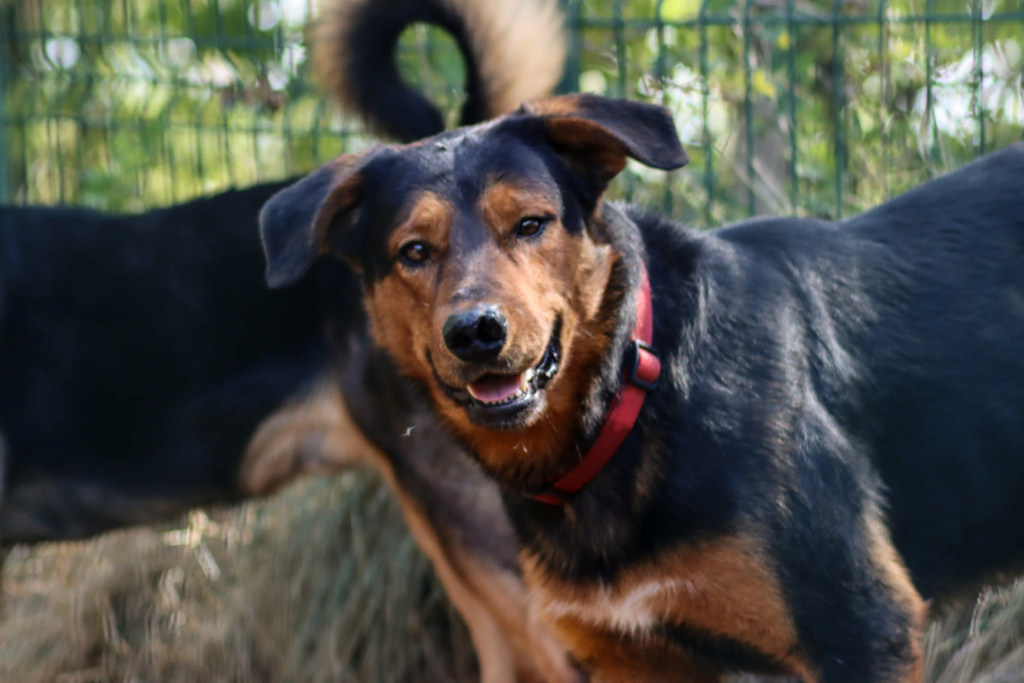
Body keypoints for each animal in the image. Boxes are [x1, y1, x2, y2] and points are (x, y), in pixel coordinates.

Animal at [260, 93, 1024, 679]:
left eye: (531, 223)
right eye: (414, 251)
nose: (475, 332)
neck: (636, 396)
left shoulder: (861, 630)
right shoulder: (633, 658)